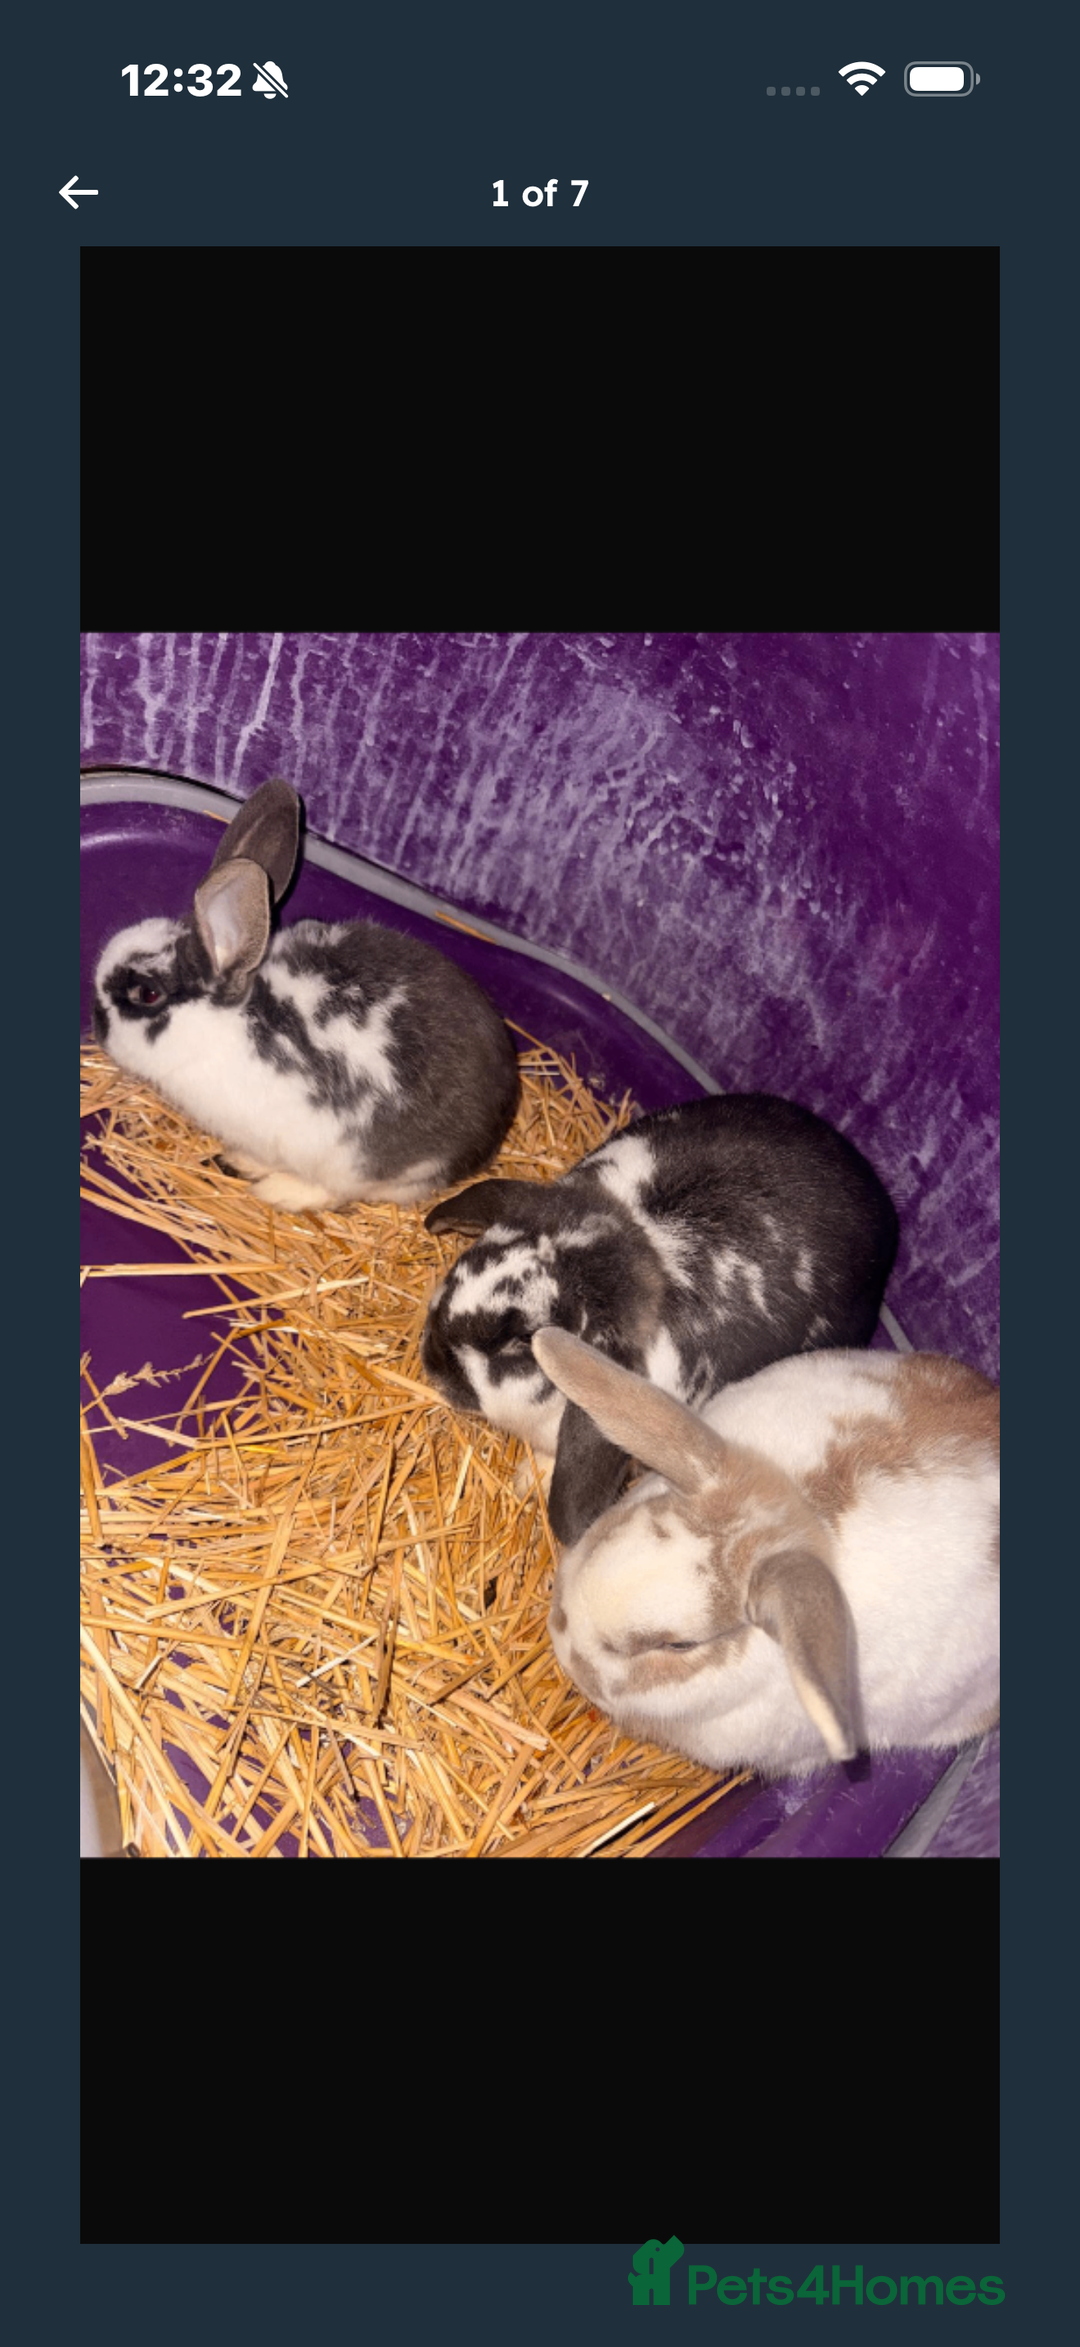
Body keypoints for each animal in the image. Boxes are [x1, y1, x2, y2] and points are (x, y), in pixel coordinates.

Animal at [91, 778, 520, 1211]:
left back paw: (276, 1189)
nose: (97, 1022)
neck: (226, 1022)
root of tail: (481, 1144)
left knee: (334, 1190)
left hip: (350, 1162)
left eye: (147, 993)